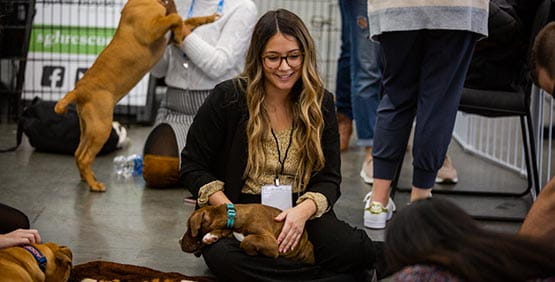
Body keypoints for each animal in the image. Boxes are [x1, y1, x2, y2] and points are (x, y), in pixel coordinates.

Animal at [53, 0, 219, 193]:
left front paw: (209, 18)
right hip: (101, 128)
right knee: (85, 157)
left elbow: (189, 20)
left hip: (89, 128)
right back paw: (94, 185)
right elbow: (175, 17)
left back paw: (87, 178)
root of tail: (79, 90)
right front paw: (179, 34)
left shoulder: (166, 35)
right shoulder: (151, 29)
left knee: (78, 153)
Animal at [180, 203, 314, 264]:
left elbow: (246, 240)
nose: (179, 241)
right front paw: (211, 236)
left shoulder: (272, 243)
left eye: (189, 227)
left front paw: (252, 252)